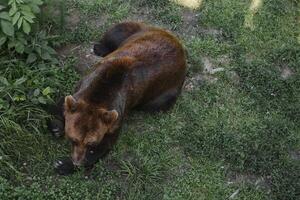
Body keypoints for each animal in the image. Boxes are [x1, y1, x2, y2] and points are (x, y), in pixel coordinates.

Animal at [48, 22, 186, 175]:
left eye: (91, 143)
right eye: (73, 139)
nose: (77, 160)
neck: (101, 91)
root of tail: (178, 44)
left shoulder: (117, 113)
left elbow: (106, 144)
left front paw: (63, 164)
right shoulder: (81, 87)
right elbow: (61, 105)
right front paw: (56, 127)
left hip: (166, 91)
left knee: (155, 105)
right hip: (136, 31)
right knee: (115, 32)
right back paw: (99, 48)